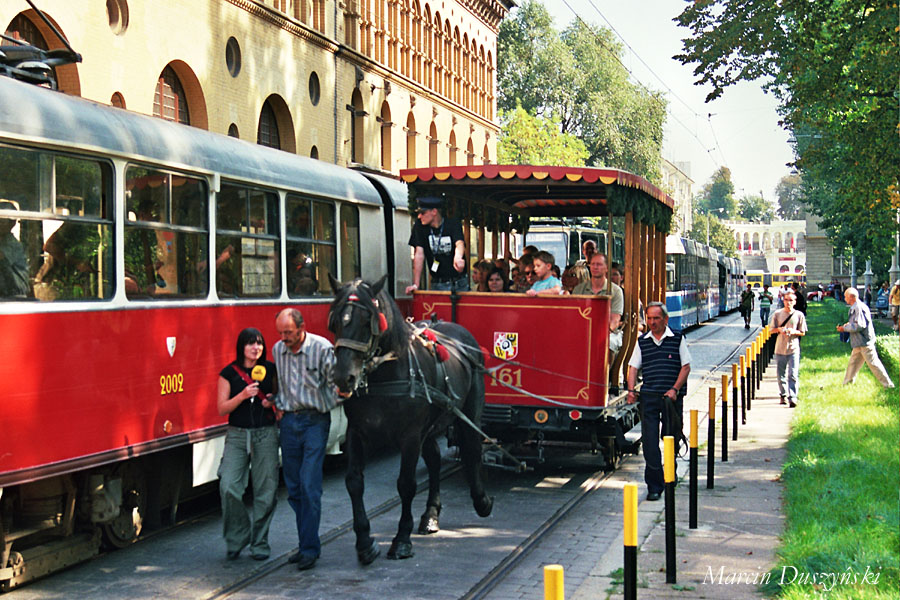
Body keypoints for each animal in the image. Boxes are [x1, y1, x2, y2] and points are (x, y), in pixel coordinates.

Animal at [326, 274, 492, 564]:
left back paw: (481, 501)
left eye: (368, 320)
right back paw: (430, 516)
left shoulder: (410, 436)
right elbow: (354, 482)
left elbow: (406, 485)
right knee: (435, 461)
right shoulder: (356, 433)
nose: (343, 377)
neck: (385, 376)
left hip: (469, 412)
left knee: (472, 449)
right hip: (430, 427)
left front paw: (401, 539)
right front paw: (365, 542)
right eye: (335, 321)